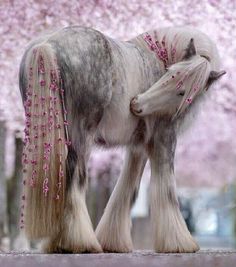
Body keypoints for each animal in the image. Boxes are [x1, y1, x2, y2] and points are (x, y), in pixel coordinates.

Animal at [18, 24, 225, 253]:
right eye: (171, 74)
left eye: (182, 90)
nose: (136, 104)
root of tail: (48, 44)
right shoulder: (165, 138)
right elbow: (167, 188)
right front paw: (179, 243)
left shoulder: (138, 146)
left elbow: (128, 187)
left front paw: (113, 242)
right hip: (81, 133)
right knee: (74, 174)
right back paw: (79, 242)